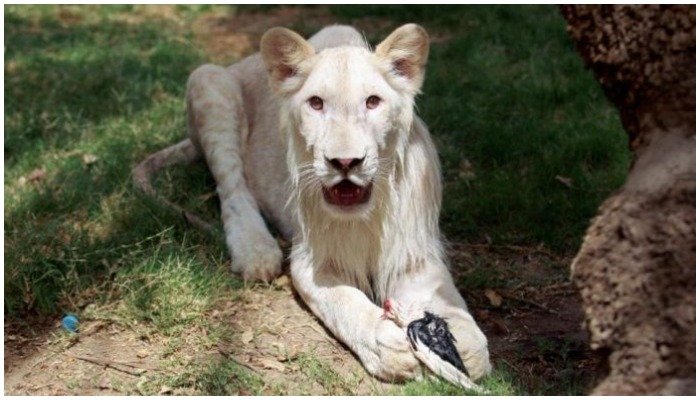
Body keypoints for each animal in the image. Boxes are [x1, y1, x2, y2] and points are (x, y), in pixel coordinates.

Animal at [133, 23, 491, 382]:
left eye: (373, 102)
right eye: (316, 103)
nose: (345, 162)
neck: (366, 217)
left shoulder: (413, 254)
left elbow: (453, 311)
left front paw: (459, 345)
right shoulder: (310, 260)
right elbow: (345, 303)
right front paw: (384, 343)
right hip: (208, 81)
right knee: (232, 187)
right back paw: (255, 251)